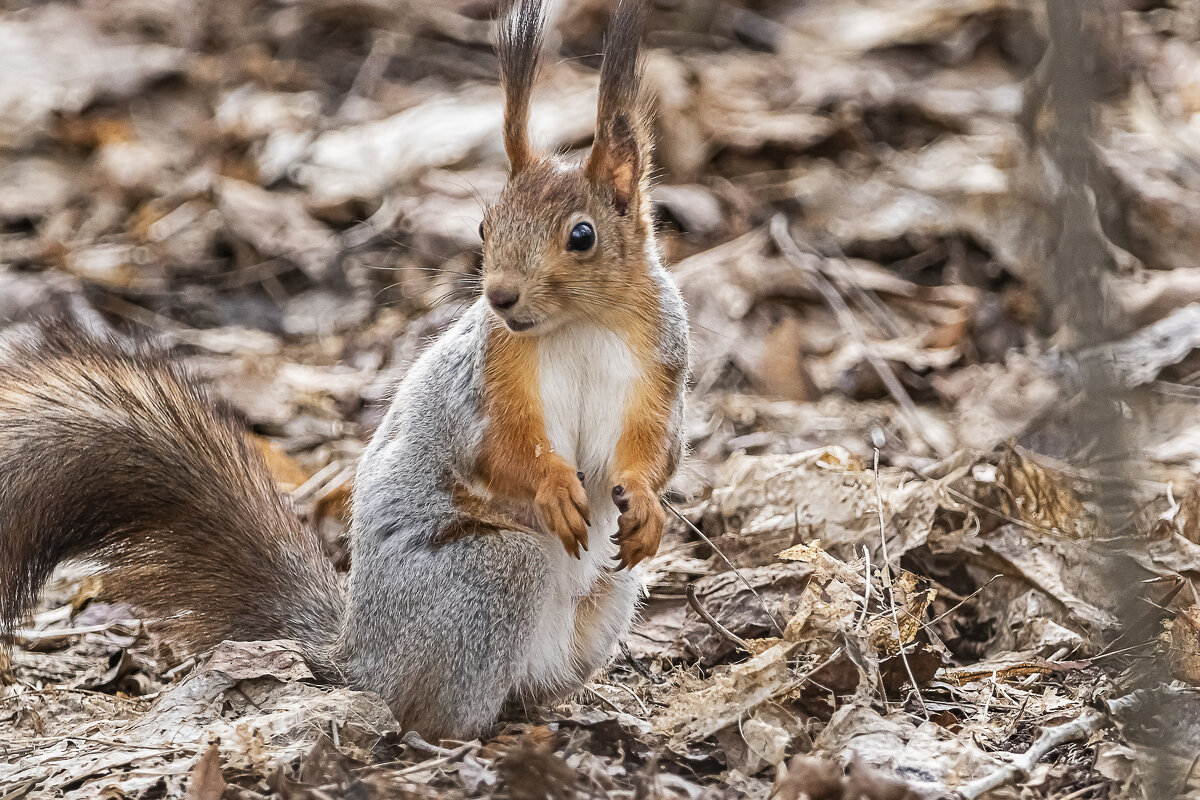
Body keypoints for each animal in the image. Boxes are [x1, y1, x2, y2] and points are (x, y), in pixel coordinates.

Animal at [0, 0, 691, 743]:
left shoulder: (661, 366)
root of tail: (360, 654)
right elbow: (499, 451)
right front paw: (556, 487)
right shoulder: (489, 380)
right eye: (484, 226)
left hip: (611, 591)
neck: (578, 325)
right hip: (494, 572)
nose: (500, 297)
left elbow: (657, 451)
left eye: (581, 236)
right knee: (432, 705)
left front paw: (645, 503)